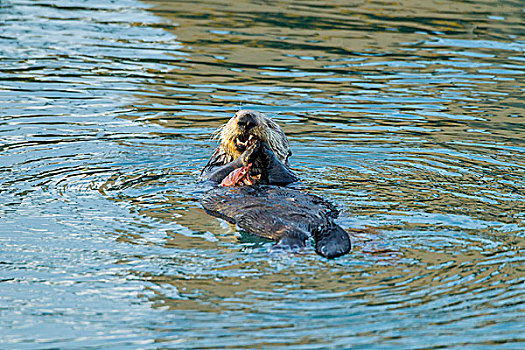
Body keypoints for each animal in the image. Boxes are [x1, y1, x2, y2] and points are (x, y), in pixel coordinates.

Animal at [199, 110, 350, 258]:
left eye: (269, 124)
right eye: (235, 115)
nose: (247, 118)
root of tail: (321, 224)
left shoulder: (290, 177)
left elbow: (284, 174)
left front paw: (264, 148)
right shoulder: (209, 174)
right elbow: (216, 174)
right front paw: (249, 152)